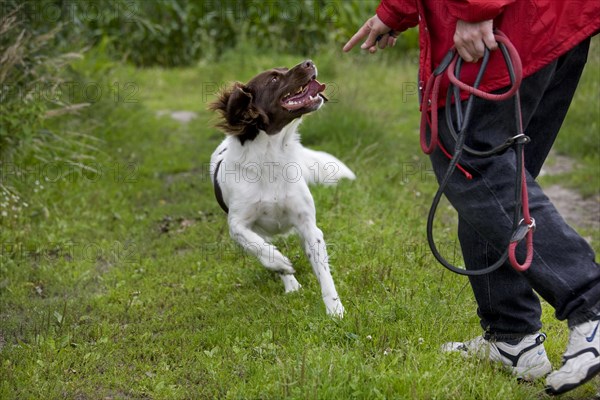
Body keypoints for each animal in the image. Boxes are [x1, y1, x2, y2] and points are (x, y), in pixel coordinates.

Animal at [209, 60, 354, 316]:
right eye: (274, 79)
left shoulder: (308, 226)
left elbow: (324, 272)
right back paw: (290, 281)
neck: (271, 157)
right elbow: (262, 250)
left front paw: (335, 310)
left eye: (284, 69)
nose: (309, 62)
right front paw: (281, 264)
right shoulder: (237, 225)